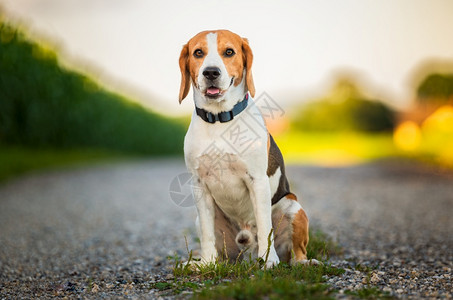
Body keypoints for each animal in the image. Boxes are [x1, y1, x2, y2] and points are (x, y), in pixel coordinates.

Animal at [178, 29, 316, 266]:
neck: (219, 119)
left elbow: (264, 227)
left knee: (296, 253)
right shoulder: (199, 185)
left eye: (229, 52)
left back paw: (302, 263)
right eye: (198, 53)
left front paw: (269, 262)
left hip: (293, 207)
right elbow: (207, 233)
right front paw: (206, 264)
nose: (211, 72)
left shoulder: (257, 181)